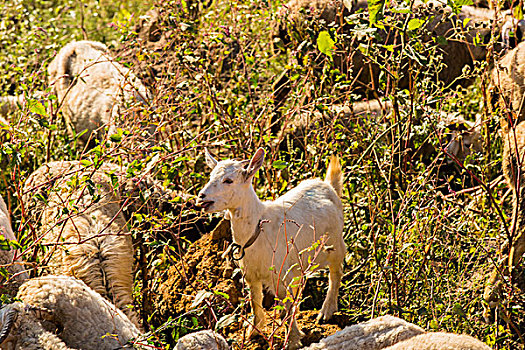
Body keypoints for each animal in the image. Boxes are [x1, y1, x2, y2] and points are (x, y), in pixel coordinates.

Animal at [194, 149, 346, 348]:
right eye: (211, 176)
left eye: (228, 180)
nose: (201, 196)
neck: (257, 227)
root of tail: (329, 186)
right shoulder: (251, 274)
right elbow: (255, 301)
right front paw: (253, 332)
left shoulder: (279, 274)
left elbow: (286, 307)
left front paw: (293, 340)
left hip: (335, 243)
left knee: (335, 273)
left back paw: (326, 311)